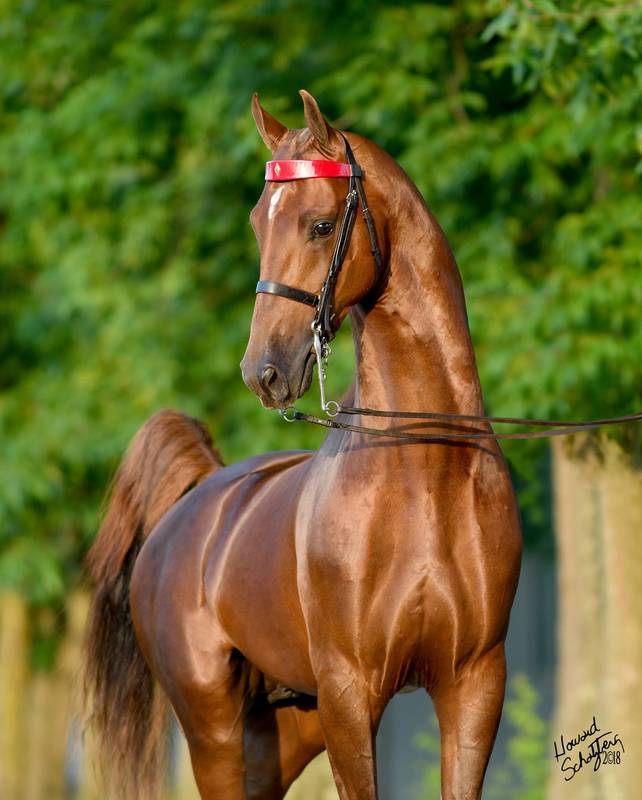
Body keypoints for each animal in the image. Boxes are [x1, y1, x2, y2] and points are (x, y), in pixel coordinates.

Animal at [83, 90, 522, 800]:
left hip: (285, 730)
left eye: (319, 225)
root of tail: (195, 499)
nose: (263, 371)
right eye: (257, 226)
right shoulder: (349, 691)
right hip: (213, 728)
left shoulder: (475, 685)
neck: (423, 475)